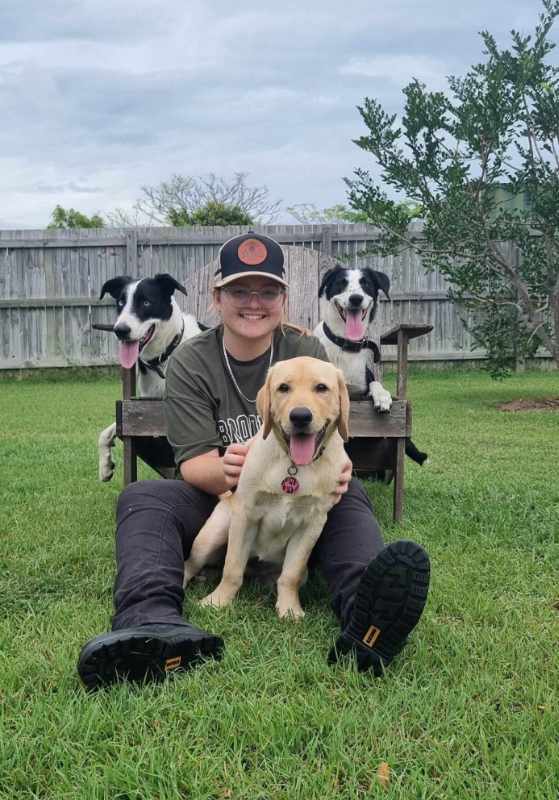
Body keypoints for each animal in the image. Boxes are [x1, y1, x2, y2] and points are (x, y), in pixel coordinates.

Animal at [98, 274, 203, 482]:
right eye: (120, 303)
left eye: (146, 302)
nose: (120, 330)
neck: (164, 358)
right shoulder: (140, 411)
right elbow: (107, 431)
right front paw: (105, 466)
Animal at [185, 356, 350, 620]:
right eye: (283, 388)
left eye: (321, 388)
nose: (300, 416)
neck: (294, 466)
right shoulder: (245, 515)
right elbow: (232, 567)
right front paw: (217, 602)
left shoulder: (313, 524)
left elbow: (290, 575)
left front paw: (289, 609)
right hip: (210, 535)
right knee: (192, 564)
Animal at [316, 266, 428, 468]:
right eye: (341, 283)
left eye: (366, 283)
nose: (356, 298)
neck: (345, 347)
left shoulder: (362, 387)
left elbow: (375, 383)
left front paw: (382, 396)